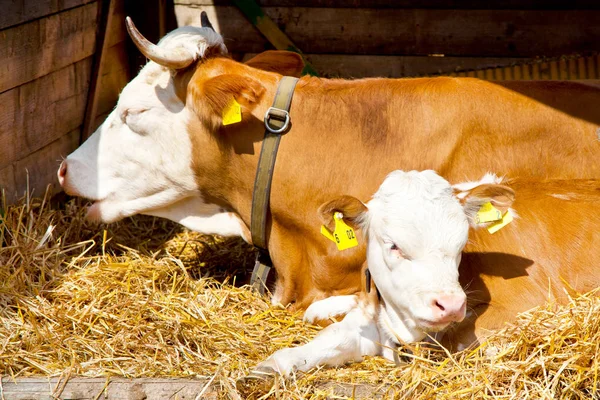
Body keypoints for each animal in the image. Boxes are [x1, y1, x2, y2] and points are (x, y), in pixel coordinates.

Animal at [253, 173, 600, 376]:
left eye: (461, 242)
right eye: (393, 245)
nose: (450, 304)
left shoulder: (529, 305)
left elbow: (455, 340)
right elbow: (336, 336)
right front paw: (274, 364)